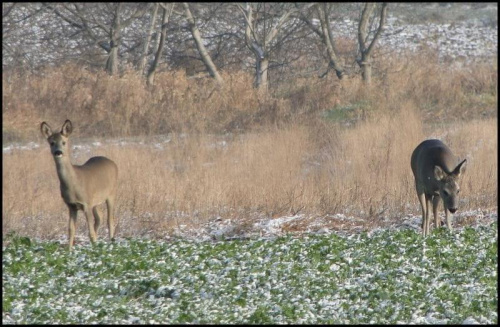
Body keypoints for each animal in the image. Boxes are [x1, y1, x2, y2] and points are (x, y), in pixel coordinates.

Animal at [40, 120, 118, 251]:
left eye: (64, 142)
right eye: (52, 143)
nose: (58, 152)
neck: (73, 184)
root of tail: (113, 163)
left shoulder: (86, 203)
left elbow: (90, 232)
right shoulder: (71, 205)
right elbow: (71, 230)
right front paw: (69, 251)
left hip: (111, 194)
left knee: (110, 219)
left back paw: (111, 242)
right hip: (95, 201)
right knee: (100, 217)